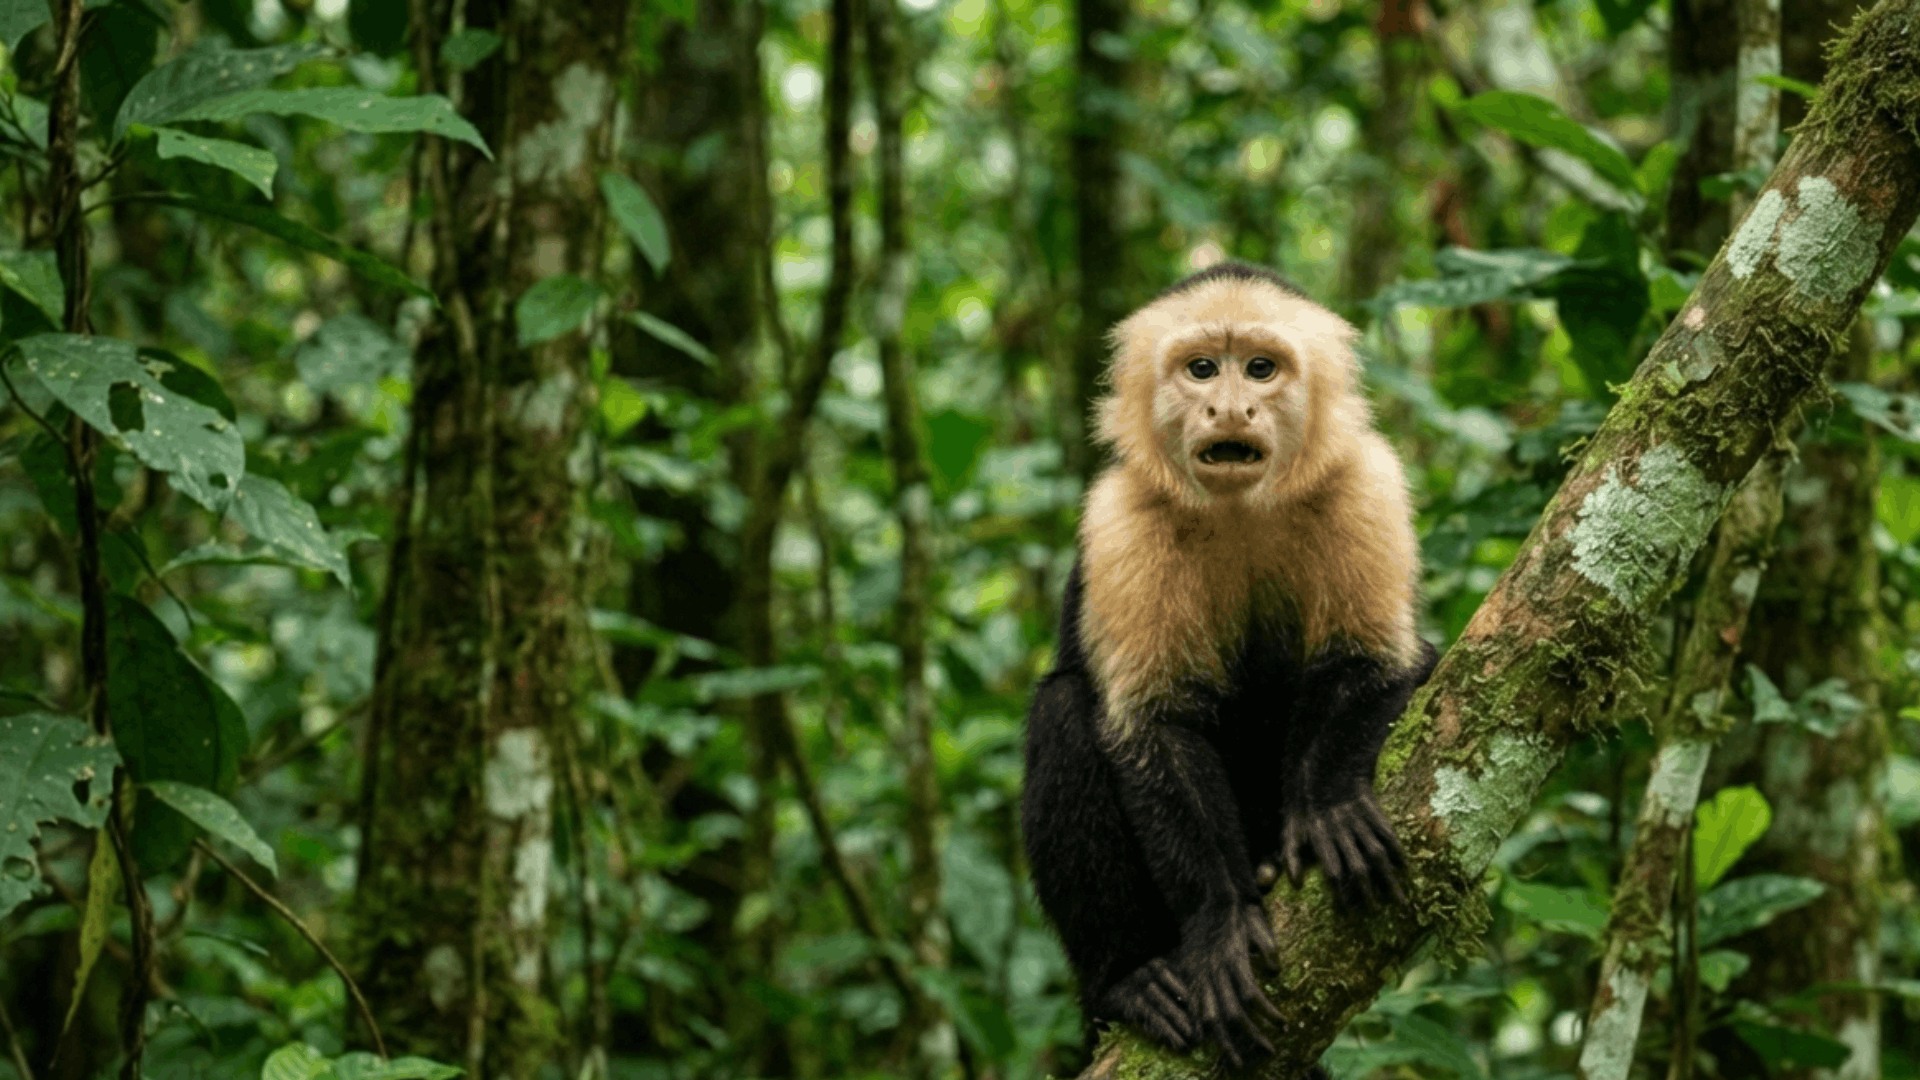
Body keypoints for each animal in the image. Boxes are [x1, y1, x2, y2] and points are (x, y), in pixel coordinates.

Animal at [1021, 262, 1438, 1069]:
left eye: (1262, 369)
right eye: (1203, 370)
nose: (1230, 407)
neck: (1241, 509)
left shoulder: (1365, 481)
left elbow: (1373, 658)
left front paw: (1329, 803)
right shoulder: (1120, 517)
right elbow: (1154, 724)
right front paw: (1220, 921)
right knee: (1062, 713)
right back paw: (1127, 980)